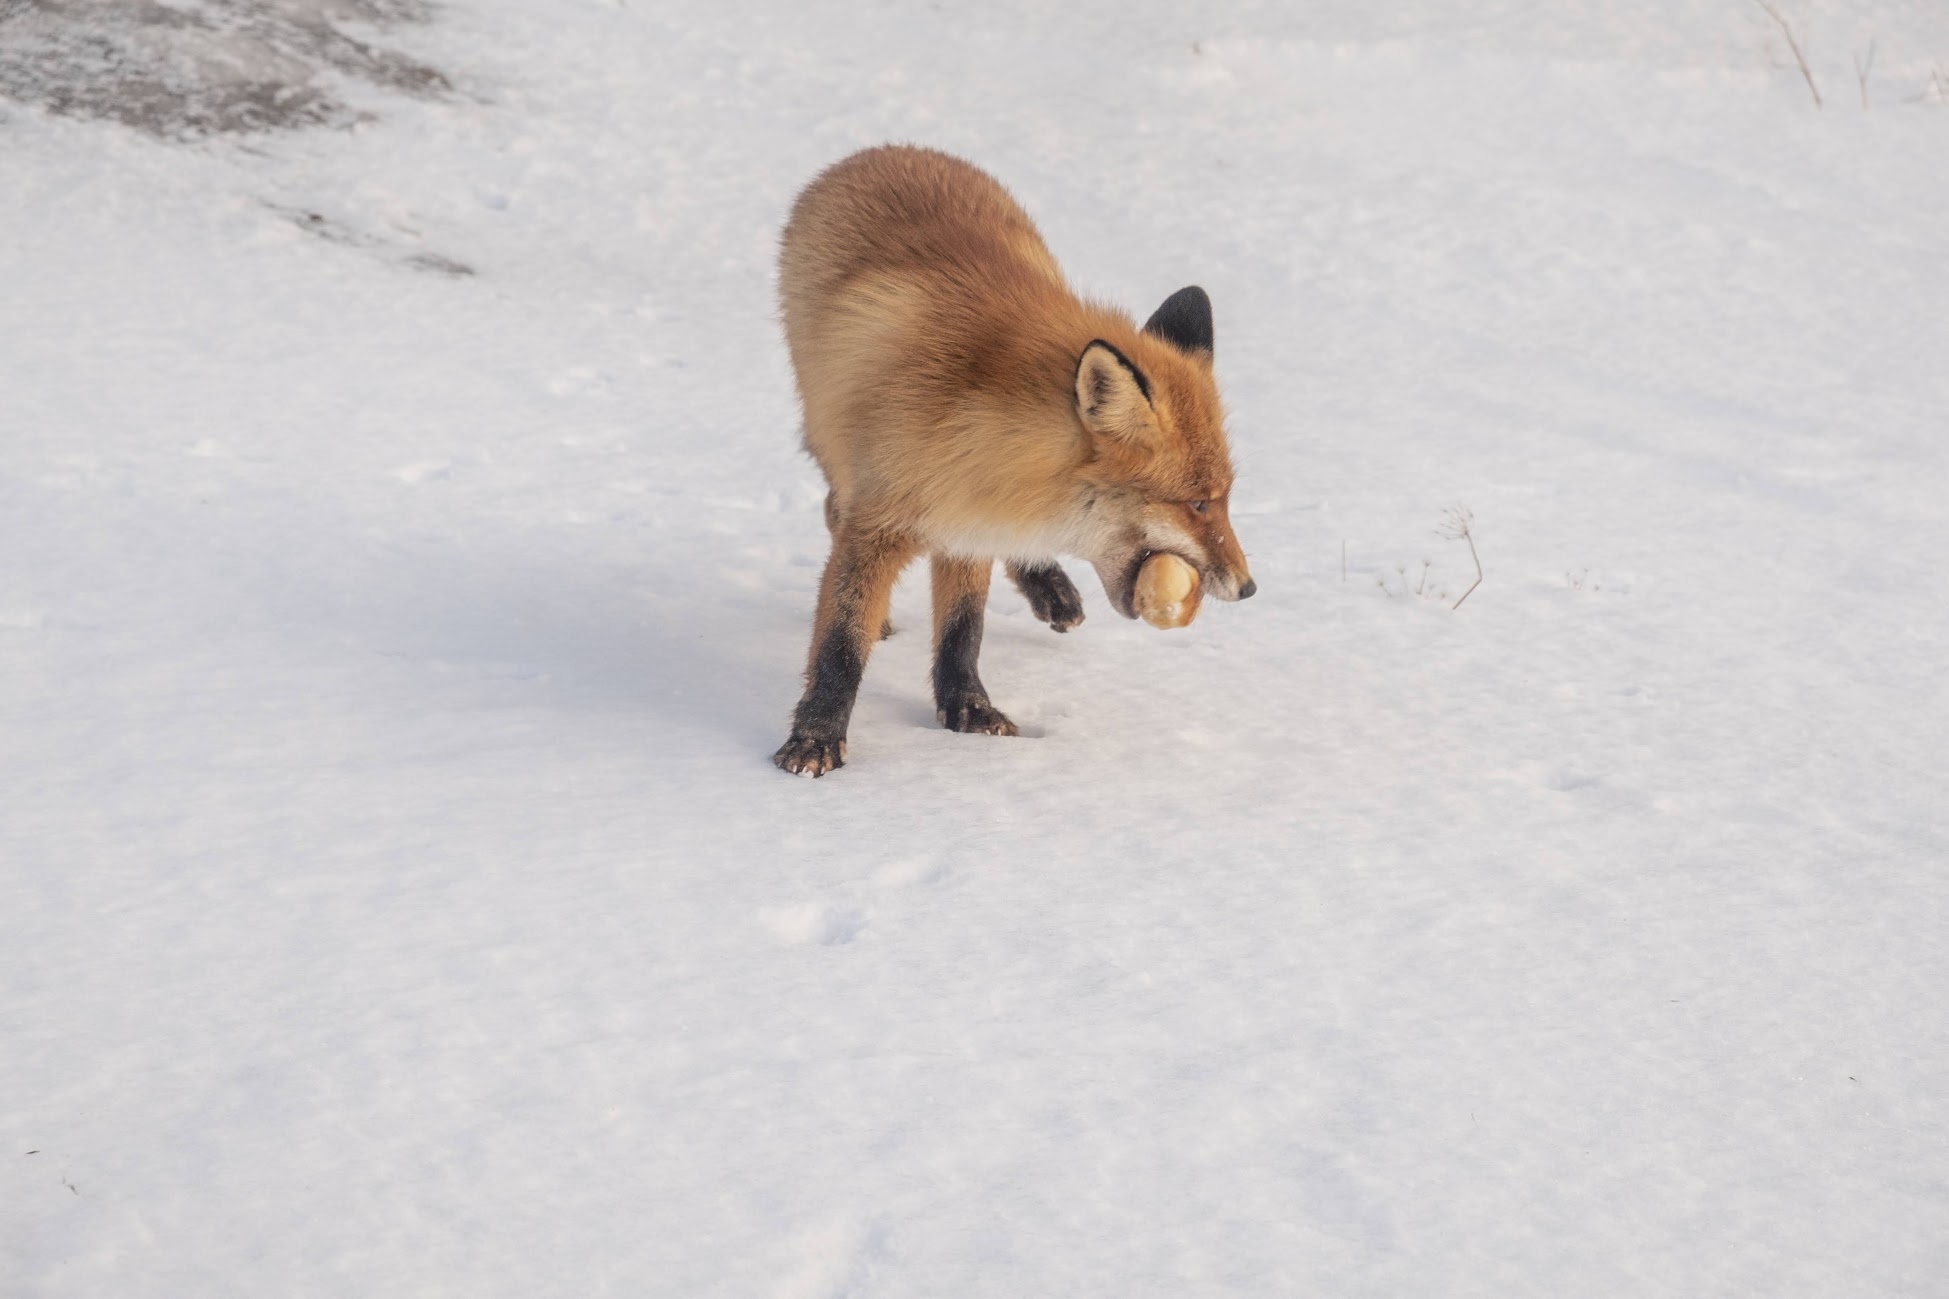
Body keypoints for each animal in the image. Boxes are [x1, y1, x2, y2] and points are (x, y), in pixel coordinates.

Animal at [773, 144, 1255, 777]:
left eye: (1224, 498)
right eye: (1198, 503)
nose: (1249, 589)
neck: (978, 428)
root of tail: (883, 151)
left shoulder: (971, 520)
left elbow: (963, 629)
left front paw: (967, 711)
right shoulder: (881, 521)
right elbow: (841, 642)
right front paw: (815, 740)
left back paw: (1049, 587)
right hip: (834, 441)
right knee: (833, 510)